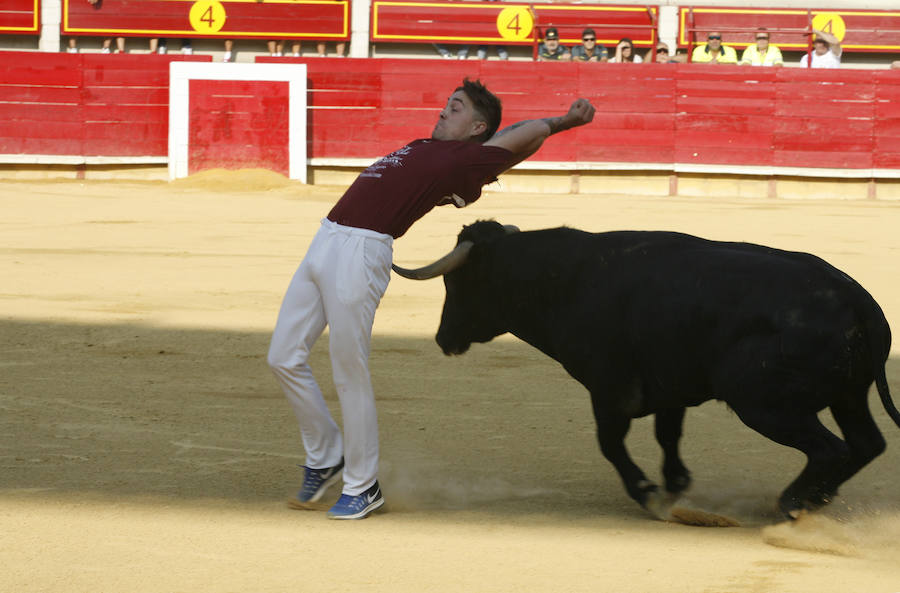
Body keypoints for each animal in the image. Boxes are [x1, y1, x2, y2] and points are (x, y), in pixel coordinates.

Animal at [394, 219, 900, 520]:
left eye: (456, 281)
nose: (442, 338)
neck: (566, 279)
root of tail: (856, 297)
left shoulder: (608, 389)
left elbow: (610, 443)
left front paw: (649, 493)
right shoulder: (668, 387)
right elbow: (667, 435)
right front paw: (675, 485)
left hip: (762, 402)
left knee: (830, 449)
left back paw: (793, 504)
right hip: (848, 396)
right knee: (866, 444)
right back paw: (815, 499)